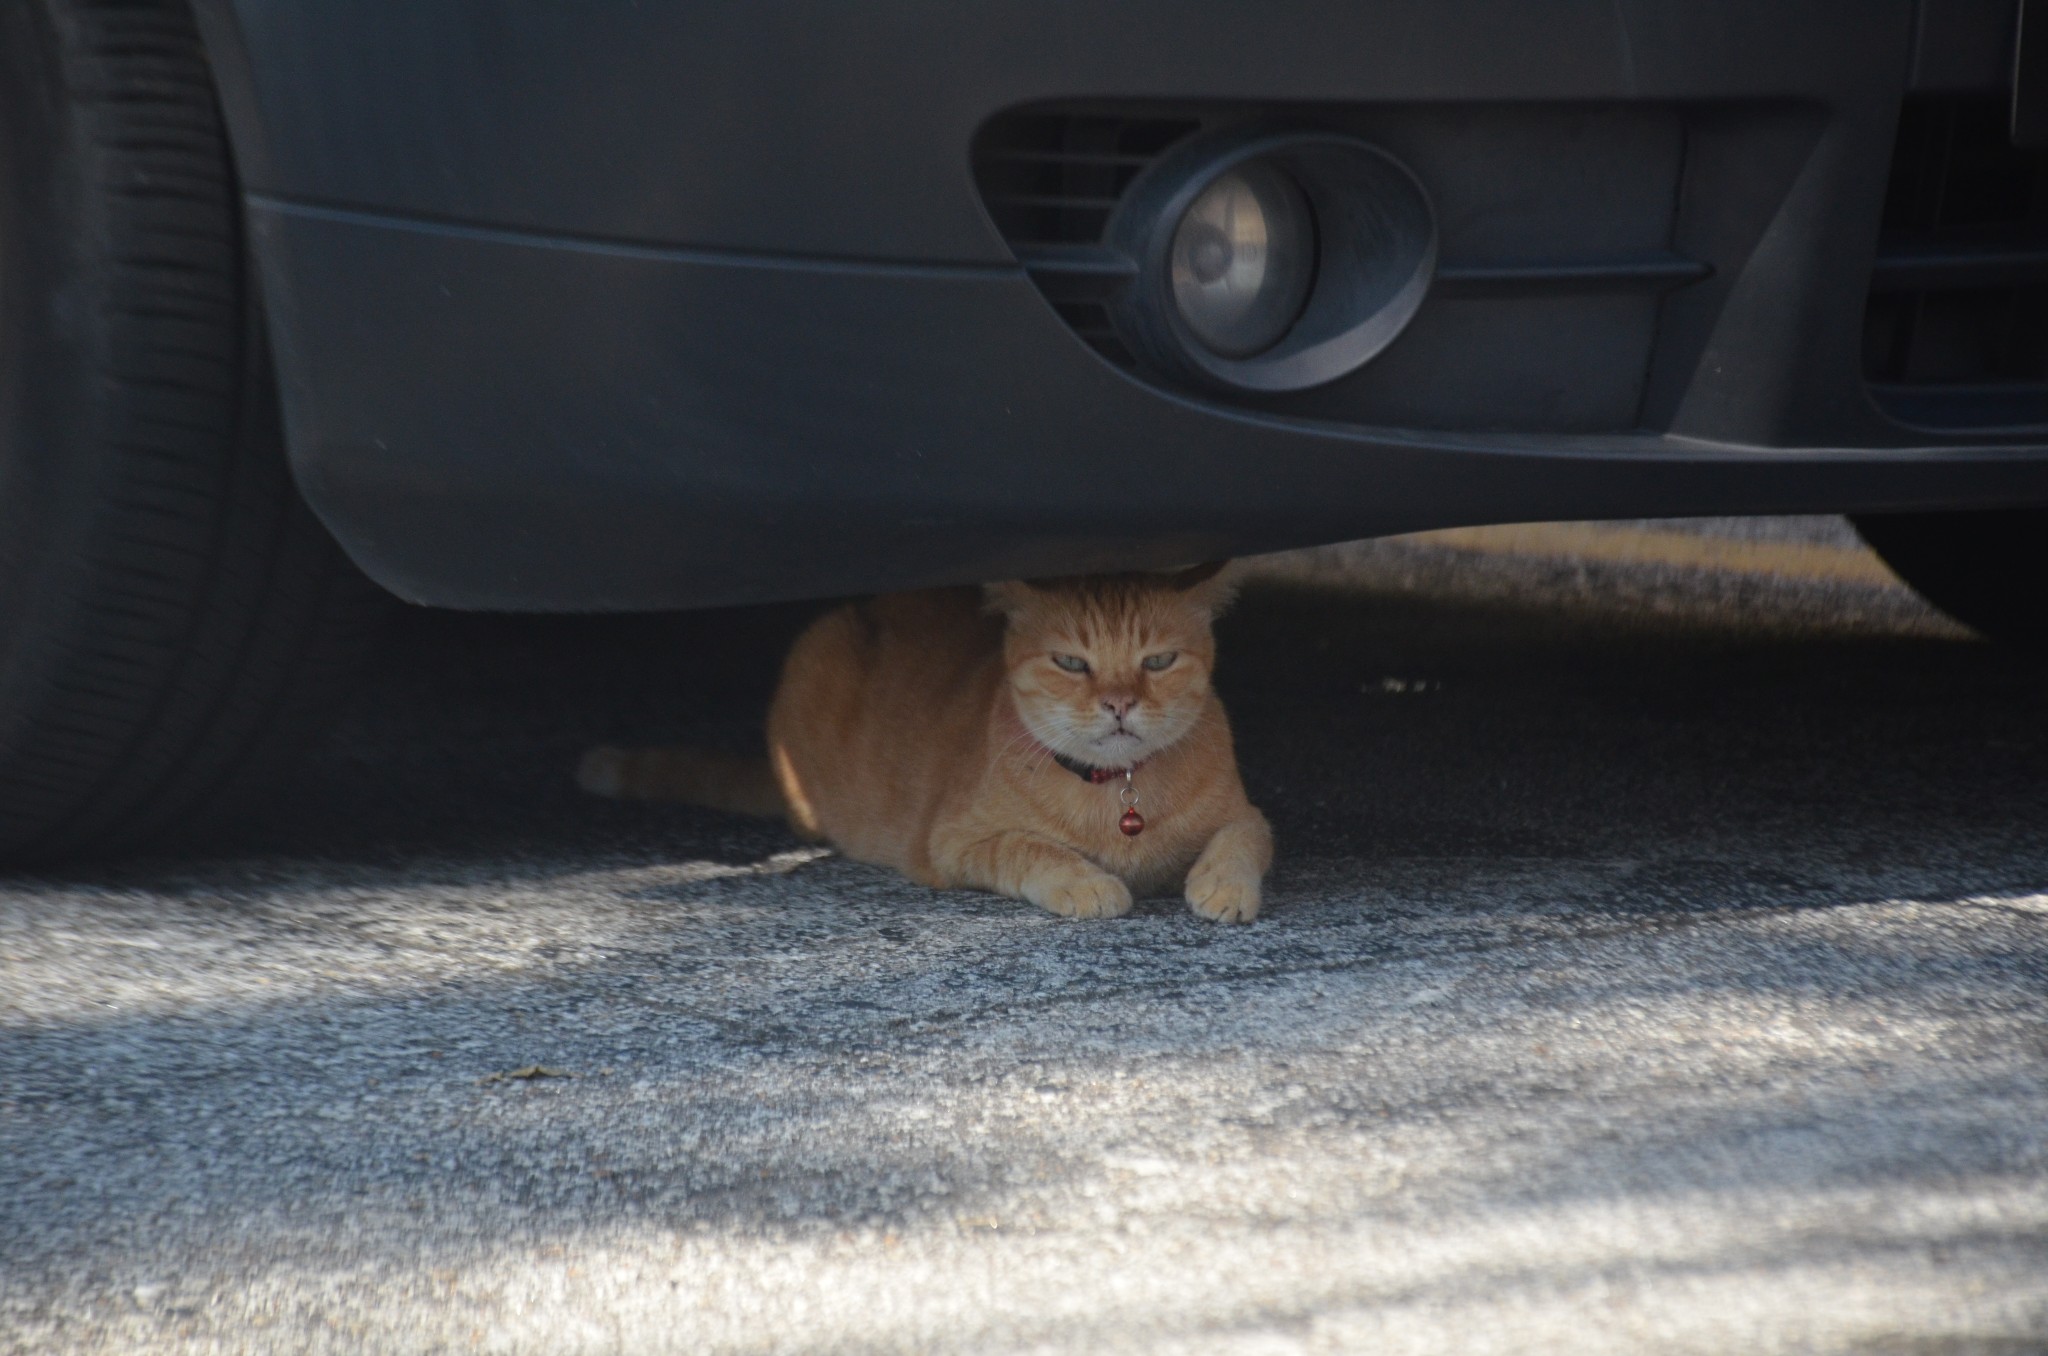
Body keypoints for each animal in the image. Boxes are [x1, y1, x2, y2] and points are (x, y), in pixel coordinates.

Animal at [577, 569, 1269, 929]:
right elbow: (1031, 849)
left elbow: (1240, 840)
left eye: (1158, 662)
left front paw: (1222, 886)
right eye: (1072, 663)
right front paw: (1088, 885)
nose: (1120, 703)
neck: (1119, 794)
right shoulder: (954, 842)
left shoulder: (1249, 815)